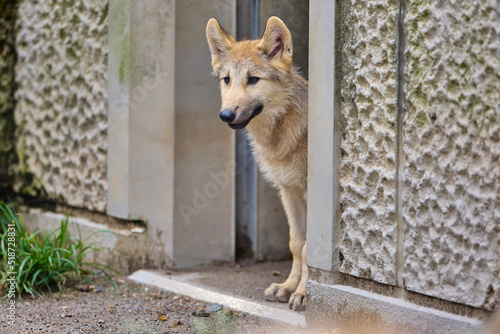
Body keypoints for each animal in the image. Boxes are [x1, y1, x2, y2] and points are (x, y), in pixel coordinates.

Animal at [206, 17, 308, 312]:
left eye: (253, 80)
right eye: (227, 80)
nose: (225, 115)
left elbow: (308, 248)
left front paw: (303, 293)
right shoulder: (289, 192)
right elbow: (296, 244)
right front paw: (288, 287)